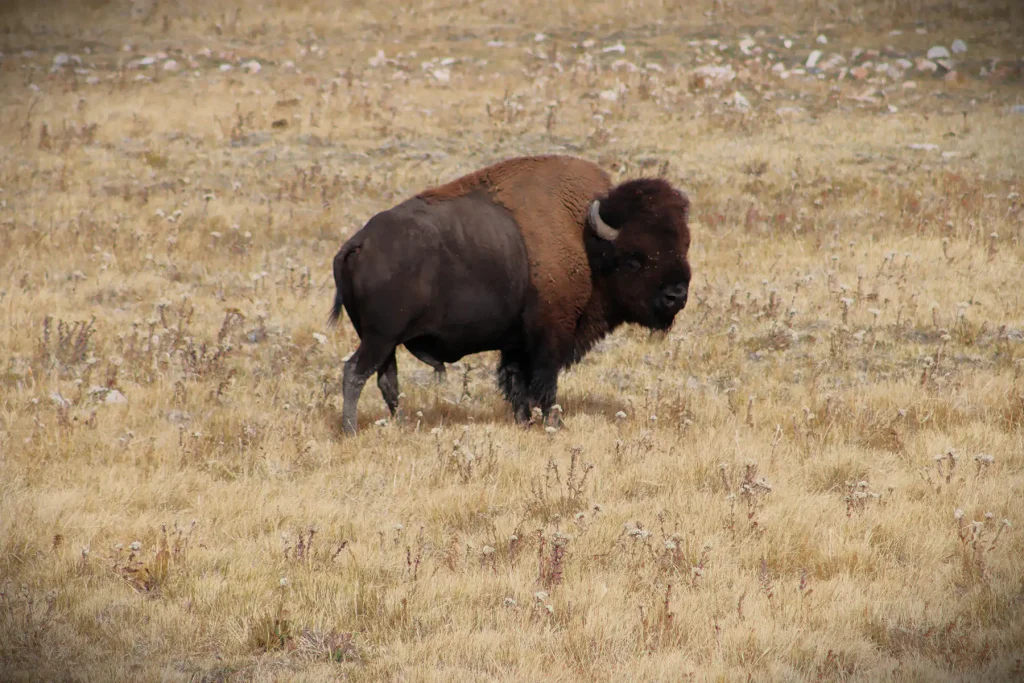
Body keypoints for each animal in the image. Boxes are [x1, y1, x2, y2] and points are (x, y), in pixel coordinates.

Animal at [328, 154, 692, 435]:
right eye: (633, 258)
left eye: (683, 246)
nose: (676, 295)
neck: (586, 241)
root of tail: (359, 242)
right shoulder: (551, 335)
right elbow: (544, 383)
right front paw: (555, 424)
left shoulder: (516, 342)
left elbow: (517, 383)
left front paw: (524, 421)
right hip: (380, 337)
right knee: (356, 372)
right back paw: (351, 429)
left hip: (385, 341)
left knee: (386, 380)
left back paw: (403, 424)